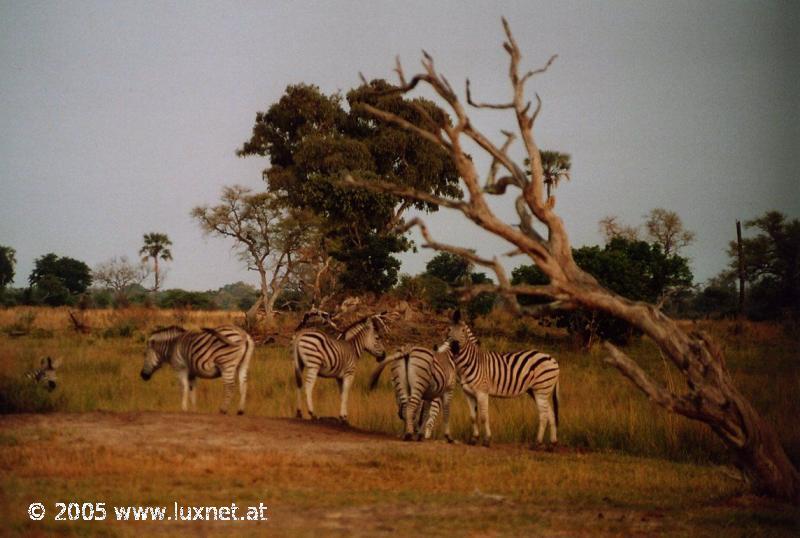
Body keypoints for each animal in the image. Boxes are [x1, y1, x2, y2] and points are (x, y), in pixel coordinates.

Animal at [438, 308, 564, 446]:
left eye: (463, 331)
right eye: (449, 329)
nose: (455, 347)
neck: (470, 362)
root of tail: (552, 359)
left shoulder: (482, 392)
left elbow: (483, 417)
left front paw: (487, 440)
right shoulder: (469, 393)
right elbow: (473, 417)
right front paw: (474, 439)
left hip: (541, 389)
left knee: (543, 415)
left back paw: (537, 443)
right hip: (537, 391)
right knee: (550, 414)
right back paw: (552, 443)